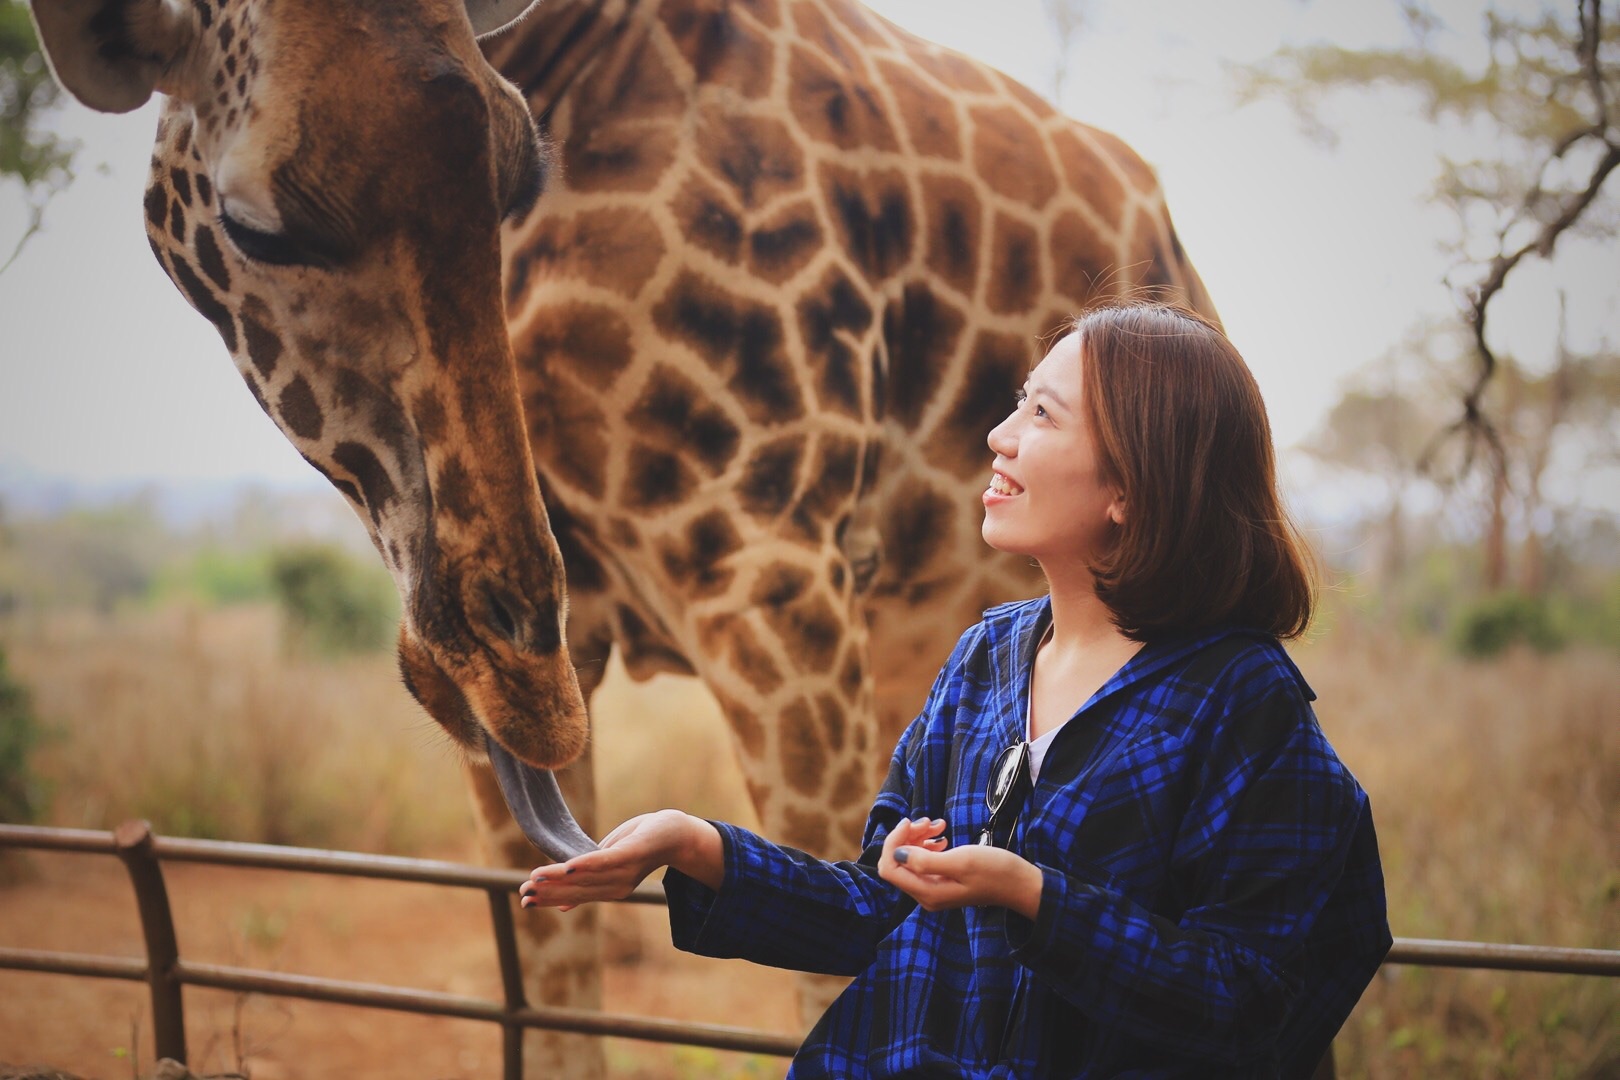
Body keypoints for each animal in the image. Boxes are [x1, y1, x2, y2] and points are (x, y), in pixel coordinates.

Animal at [28, 4, 1218, 1075]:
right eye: (255, 226)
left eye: (515, 173)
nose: (518, 679)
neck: (572, 54)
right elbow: (554, 992)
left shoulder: (773, 566)